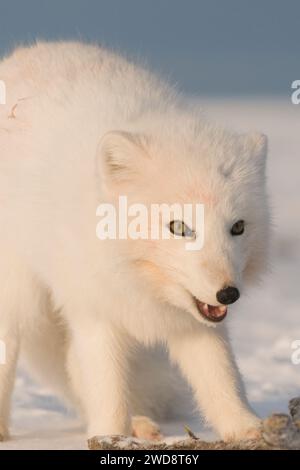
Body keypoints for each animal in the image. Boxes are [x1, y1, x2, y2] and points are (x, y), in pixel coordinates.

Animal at [0, 42, 270, 442]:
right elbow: (108, 388)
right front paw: (108, 436)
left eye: (237, 227)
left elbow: (222, 378)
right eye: (179, 227)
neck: (142, 285)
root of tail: (23, 54)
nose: (228, 294)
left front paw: (248, 429)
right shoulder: (95, 312)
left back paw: (141, 423)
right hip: (20, 294)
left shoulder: (195, 322)